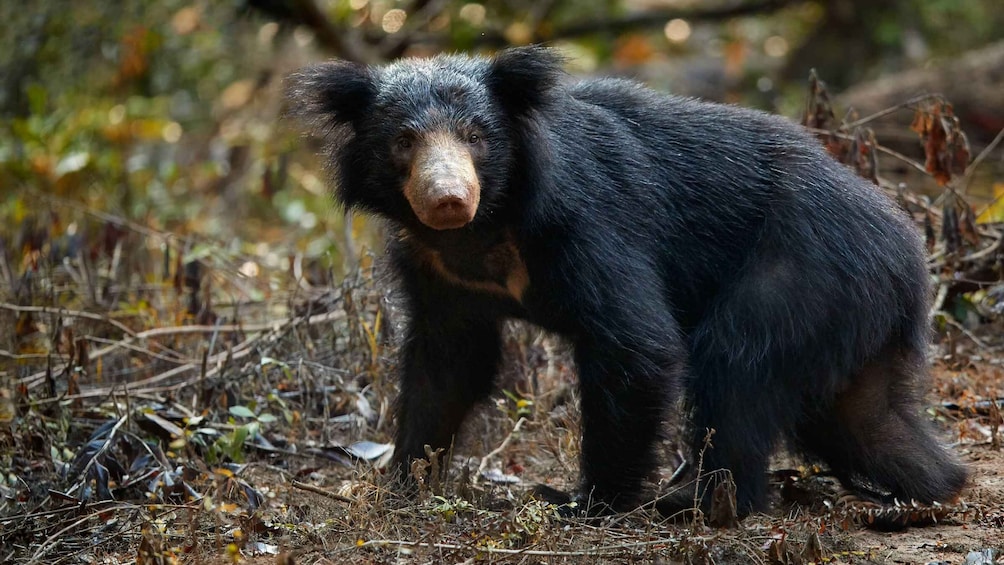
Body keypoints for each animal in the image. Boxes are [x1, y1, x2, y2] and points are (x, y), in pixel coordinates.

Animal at [285, 46, 967, 519]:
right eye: (404, 142)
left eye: (476, 138)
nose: (448, 198)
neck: (486, 228)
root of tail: (909, 251)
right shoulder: (437, 271)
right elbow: (448, 366)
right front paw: (403, 481)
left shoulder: (588, 223)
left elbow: (634, 344)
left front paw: (585, 503)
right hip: (843, 312)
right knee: (863, 415)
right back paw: (932, 487)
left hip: (797, 272)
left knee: (735, 367)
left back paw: (702, 503)